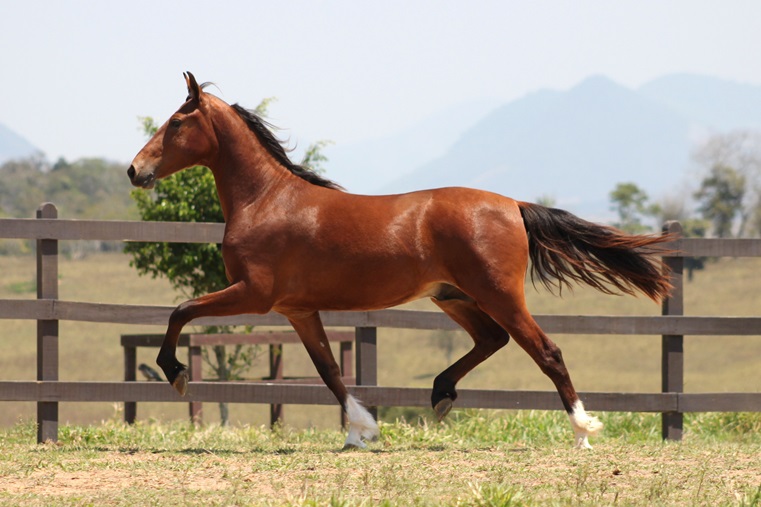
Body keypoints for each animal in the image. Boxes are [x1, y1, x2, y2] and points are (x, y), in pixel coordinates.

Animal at [129, 71, 672, 448]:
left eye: (176, 122)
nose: (135, 170)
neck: (267, 200)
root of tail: (513, 205)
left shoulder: (255, 295)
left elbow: (180, 310)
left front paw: (174, 371)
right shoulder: (297, 309)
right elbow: (329, 370)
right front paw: (361, 430)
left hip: (498, 294)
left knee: (547, 351)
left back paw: (583, 430)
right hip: (453, 297)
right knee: (492, 339)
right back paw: (441, 394)